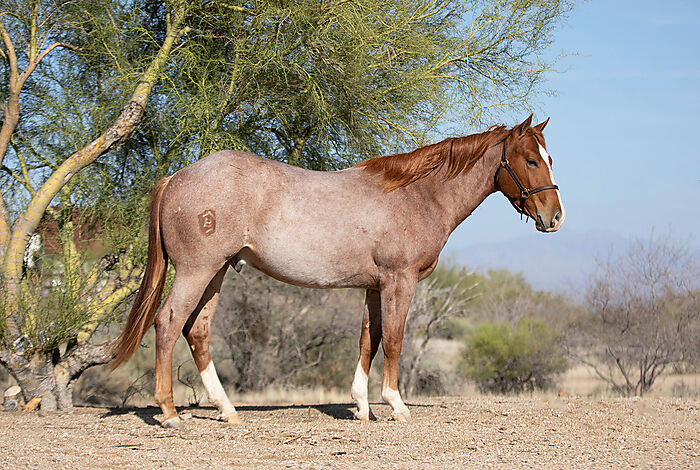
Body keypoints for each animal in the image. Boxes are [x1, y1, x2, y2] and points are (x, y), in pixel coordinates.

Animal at [110, 115, 564, 427]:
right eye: (529, 160)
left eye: (548, 158)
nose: (555, 217)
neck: (417, 194)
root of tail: (175, 177)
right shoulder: (399, 281)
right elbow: (394, 340)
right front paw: (395, 405)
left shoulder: (375, 286)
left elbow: (369, 339)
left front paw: (362, 406)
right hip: (196, 270)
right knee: (168, 323)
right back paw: (170, 413)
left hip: (217, 272)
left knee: (197, 331)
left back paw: (227, 410)